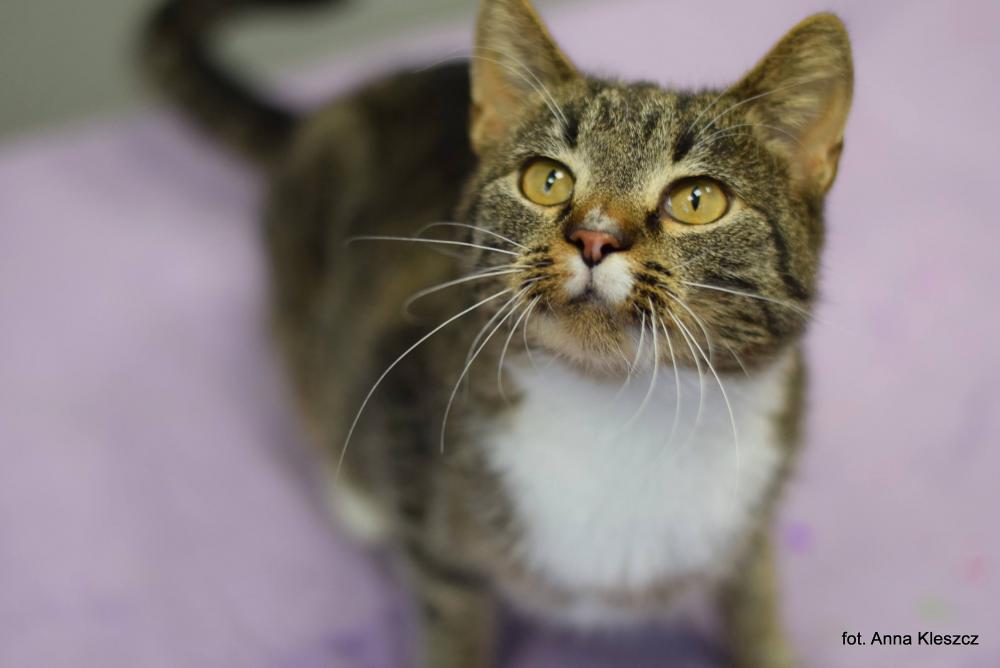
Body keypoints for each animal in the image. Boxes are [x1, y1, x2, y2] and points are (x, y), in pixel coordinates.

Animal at [143, 0, 852, 666]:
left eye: (698, 200)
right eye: (547, 179)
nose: (594, 236)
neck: (622, 405)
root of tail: (340, 103)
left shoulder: (755, 511)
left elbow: (754, 595)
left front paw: (768, 644)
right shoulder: (434, 533)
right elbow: (451, 621)